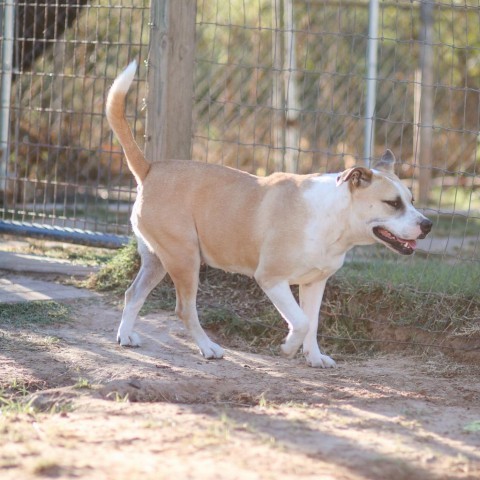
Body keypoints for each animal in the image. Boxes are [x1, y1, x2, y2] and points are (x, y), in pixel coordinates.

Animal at [107, 60, 434, 368]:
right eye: (392, 203)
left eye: (411, 200)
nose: (428, 224)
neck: (332, 218)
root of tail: (150, 168)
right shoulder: (271, 278)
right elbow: (301, 322)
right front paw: (288, 347)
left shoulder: (315, 282)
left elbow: (313, 322)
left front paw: (314, 357)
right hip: (185, 259)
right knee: (184, 309)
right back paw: (208, 348)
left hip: (158, 260)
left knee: (133, 294)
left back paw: (125, 336)